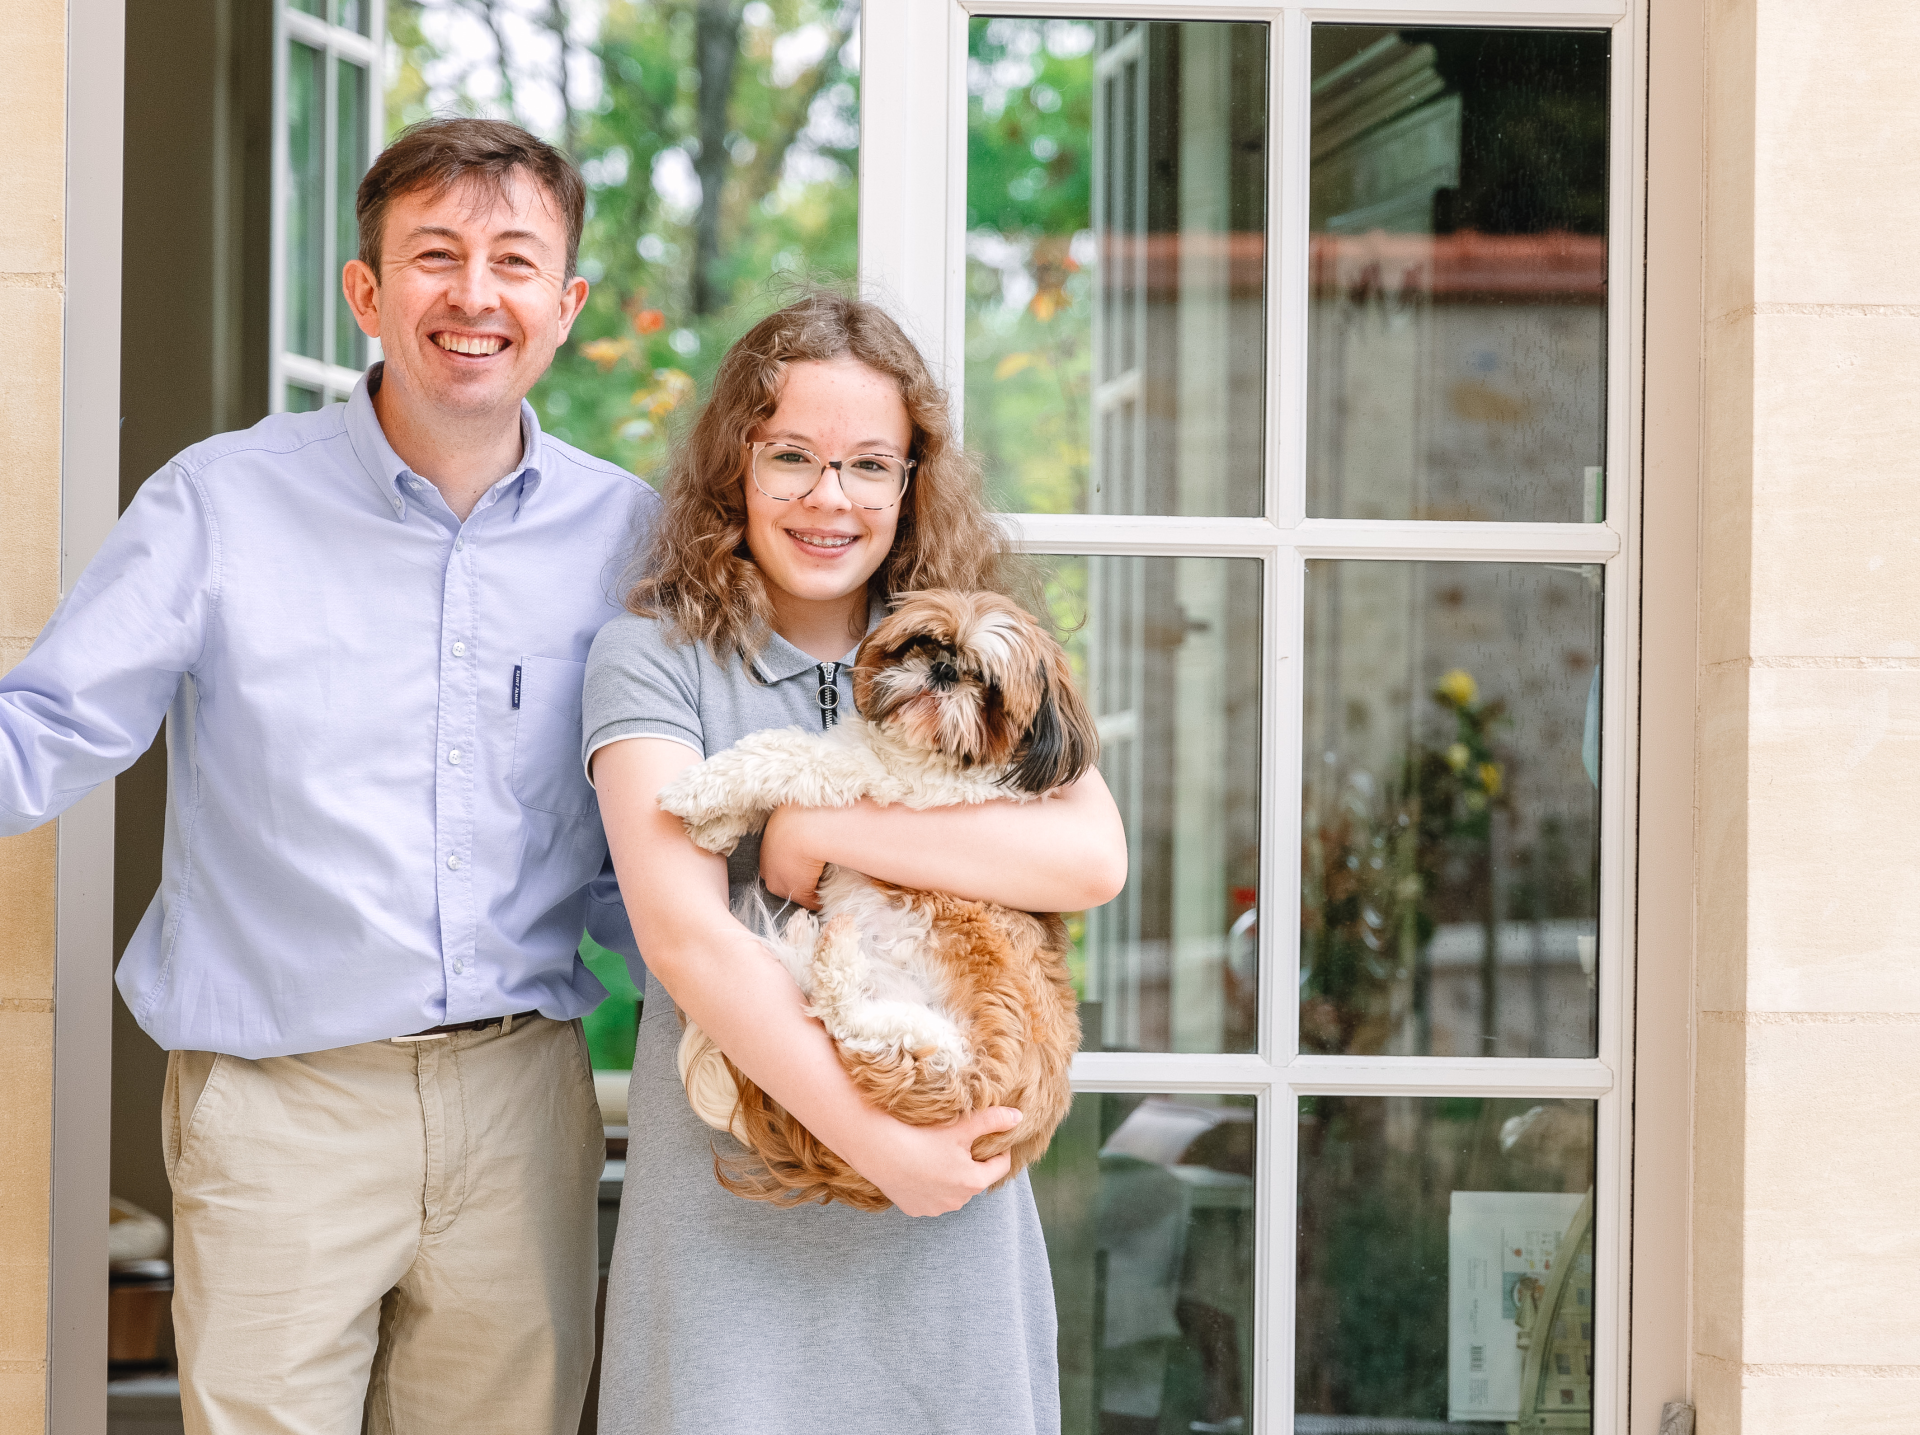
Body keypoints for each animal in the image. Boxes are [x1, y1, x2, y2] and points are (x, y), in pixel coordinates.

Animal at [660, 587, 1105, 1206]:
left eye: (987, 686)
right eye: (926, 644)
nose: (943, 671)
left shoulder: (870, 778)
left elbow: (784, 754)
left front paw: (701, 791)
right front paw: (717, 827)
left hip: (951, 1063)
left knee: (859, 1027)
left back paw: (832, 956)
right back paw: (812, 945)